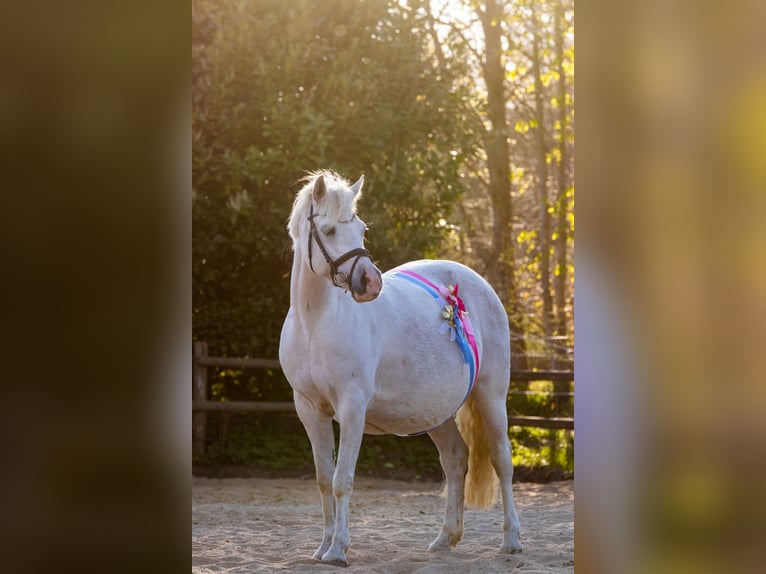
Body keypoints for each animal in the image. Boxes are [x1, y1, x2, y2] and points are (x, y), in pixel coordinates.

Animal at [280, 170, 524, 568]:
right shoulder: (309, 409)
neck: (316, 323)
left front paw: (338, 549)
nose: (370, 282)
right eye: (328, 231)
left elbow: (342, 479)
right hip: (437, 413)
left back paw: (512, 540)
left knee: (502, 460)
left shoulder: (352, 408)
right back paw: (445, 538)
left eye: (361, 229)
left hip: (491, 395)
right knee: (455, 459)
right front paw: (324, 546)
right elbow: (323, 478)